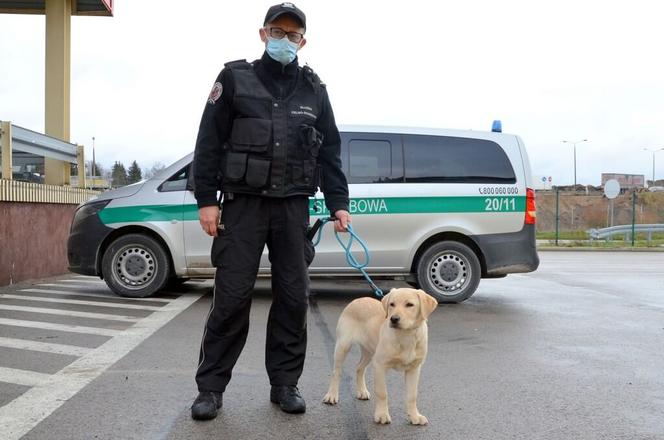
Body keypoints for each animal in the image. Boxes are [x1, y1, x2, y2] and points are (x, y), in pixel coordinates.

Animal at [322, 288, 438, 424]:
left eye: (410, 305)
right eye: (392, 304)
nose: (394, 319)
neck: (406, 336)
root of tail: (358, 299)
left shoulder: (414, 368)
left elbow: (412, 395)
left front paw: (415, 416)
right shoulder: (380, 365)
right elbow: (382, 393)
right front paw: (382, 415)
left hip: (369, 351)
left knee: (359, 368)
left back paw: (362, 391)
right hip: (343, 345)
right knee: (337, 372)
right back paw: (331, 395)